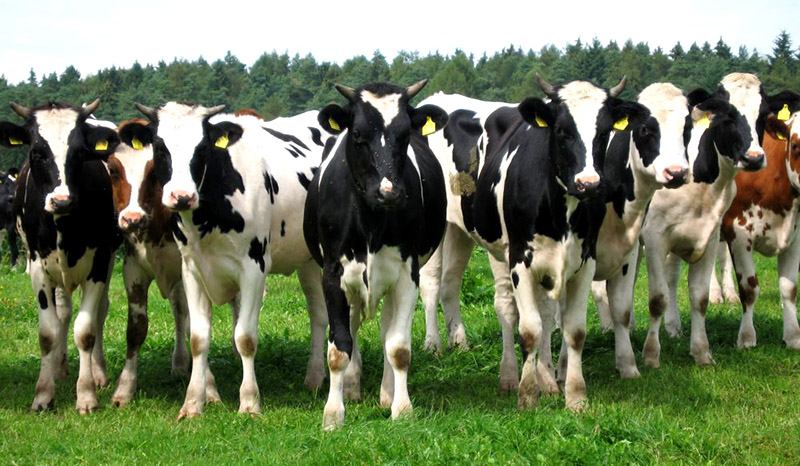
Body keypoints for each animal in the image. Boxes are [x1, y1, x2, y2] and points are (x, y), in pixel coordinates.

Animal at [0, 100, 121, 413]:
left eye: (80, 152)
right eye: (36, 152)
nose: (61, 200)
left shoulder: (99, 263)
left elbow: (86, 330)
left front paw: (87, 393)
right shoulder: (37, 268)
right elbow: (48, 332)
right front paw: (43, 393)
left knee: (98, 313)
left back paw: (98, 372)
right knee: (63, 313)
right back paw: (58, 367)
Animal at [133, 102, 331, 418]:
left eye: (202, 148)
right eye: (160, 148)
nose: (181, 196)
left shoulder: (254, 269)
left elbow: (245, 338)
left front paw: (249, 402)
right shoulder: (192, 270)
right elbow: (198, 338)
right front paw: (193, 403)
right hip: (308, 260)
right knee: (318, 314)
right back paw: (314, 377)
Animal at [306, 80, 447, 430]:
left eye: (405, 134)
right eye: (357, 134)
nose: (389, 192)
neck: (370, 221)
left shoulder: (407, 275)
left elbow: (398, 347)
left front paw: (402, 408)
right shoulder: (333, 276)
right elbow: (339, 348)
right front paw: (333, 413)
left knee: (385, 329)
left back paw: (386, 392)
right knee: (355, 326)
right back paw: (352, 386)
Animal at [634, 73, 773, 369]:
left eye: (764, 114)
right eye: (728, 115)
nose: (753, 158)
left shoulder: (708, 236)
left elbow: (699, 297)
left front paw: (701, 352)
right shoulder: (655, 237)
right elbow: (657, 298)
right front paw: (651, 355)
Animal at [720, 90, 800, 350]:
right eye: (795, 146)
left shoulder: (795, 238)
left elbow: (789, 288)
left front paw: (793, 336)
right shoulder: (738, 232)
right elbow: (750, 287)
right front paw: (746, 338)